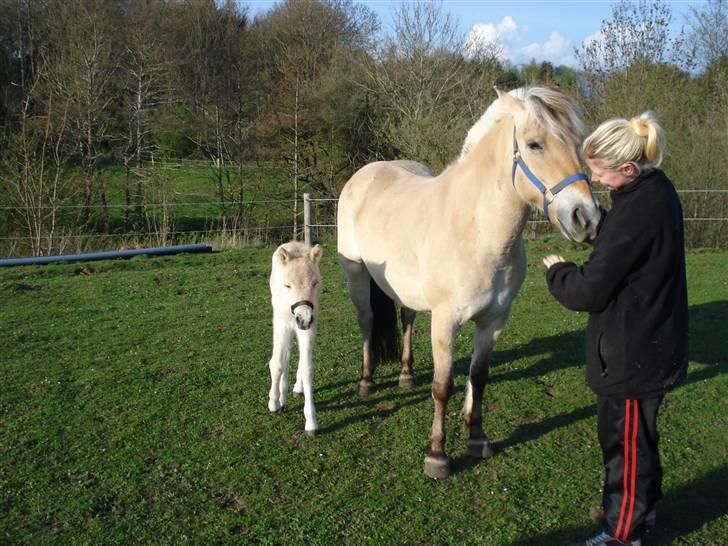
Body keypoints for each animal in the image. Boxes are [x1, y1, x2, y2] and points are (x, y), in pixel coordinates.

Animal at [268, 241, 322, 434]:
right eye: (287, 285)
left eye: (315, 283)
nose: (303, 318)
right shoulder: (281, 324)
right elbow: (277, 363)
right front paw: (274, 402)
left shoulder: (309, 326)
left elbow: (307, 368)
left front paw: (311, 421)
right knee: (287, 355)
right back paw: (281, 397)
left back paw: (297, 388)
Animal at [338, 86, 600, 476]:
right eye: (535, 144)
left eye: (577, 143)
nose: (587, 218)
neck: (477, 231)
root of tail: (367, 173)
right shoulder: (445, 322)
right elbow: (443, 386)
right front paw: (437, 454)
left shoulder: (493, 321)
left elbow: (479, 377)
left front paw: (477, 438)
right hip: (356, 275)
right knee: (367, 321)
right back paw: (367, 381)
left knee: (407, 319)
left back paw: (406, 375)